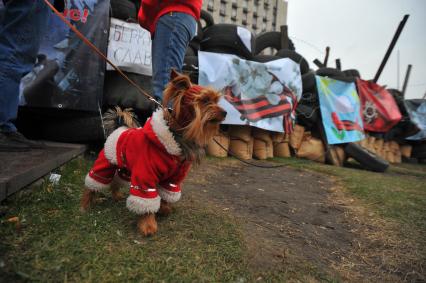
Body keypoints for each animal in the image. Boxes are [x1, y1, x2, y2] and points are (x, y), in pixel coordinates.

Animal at [80, 71, 226, 237]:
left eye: (216, 100)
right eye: (205, 100)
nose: (225, 112)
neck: (175, 139)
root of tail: (119, 128)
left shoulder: (172, 179)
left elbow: (167, 195)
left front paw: (164, 208)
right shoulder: (145, 176)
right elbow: (146, 200)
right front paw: (148, 225)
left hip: (124, 169)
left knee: (116, 182)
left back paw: (116, 196)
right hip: (105, 163)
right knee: (93, 183)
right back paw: (85, 205)